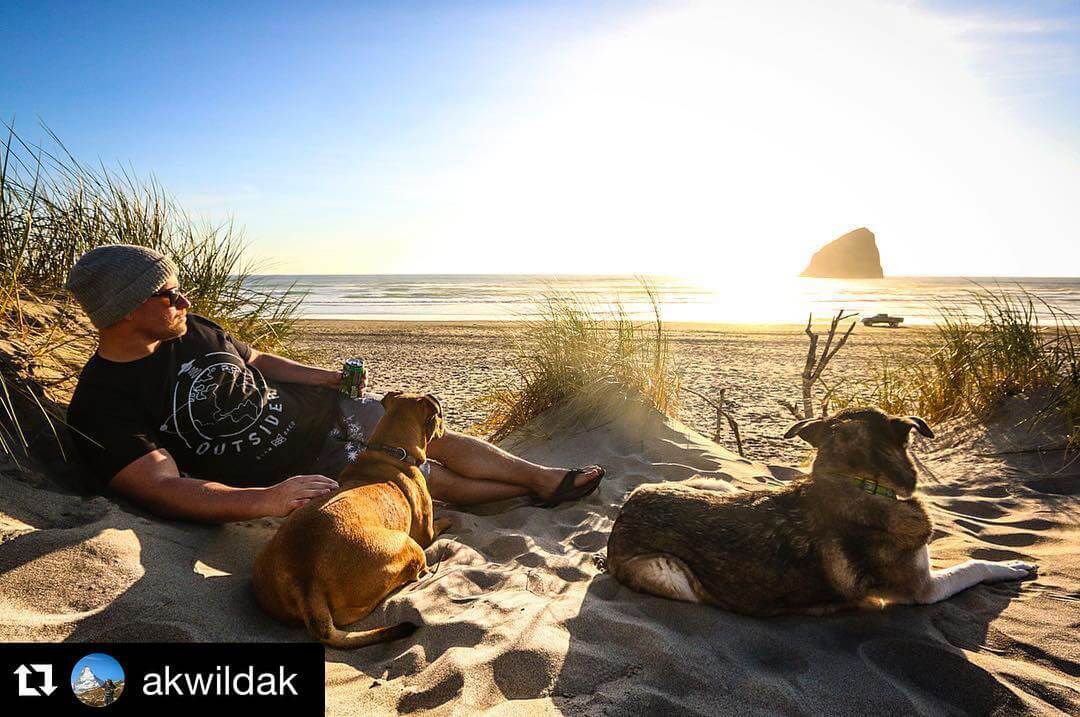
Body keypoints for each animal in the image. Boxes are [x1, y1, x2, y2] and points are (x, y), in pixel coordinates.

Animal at [254, 393, 449, 647]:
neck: (390, 451)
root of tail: (305, 581)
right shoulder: (426, 534)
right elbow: (438, 526)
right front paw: (448, 519)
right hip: (409, 546)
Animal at [609, 406, 1036, 613]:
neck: (860, 481)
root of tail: (624, 513)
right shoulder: (924, 589)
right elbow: (972, 566)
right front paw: (1010, 565)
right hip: (668, 572)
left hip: (712, 484)